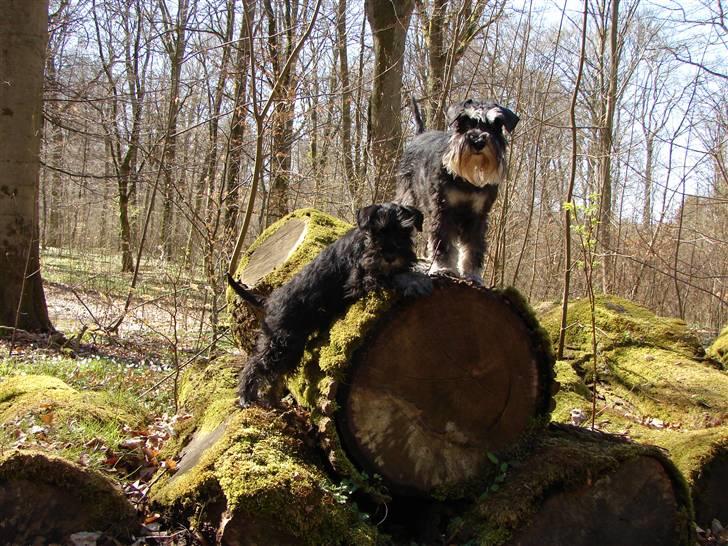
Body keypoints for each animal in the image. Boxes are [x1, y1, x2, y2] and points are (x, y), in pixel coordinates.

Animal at [230, 203, 430, 404]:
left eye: (405, 231)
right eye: (378, 231)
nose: (390, 256)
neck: (364, 242)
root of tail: (269, 300)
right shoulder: (362, 279)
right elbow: (393, 275)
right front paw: (417, 280)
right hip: (281, 342)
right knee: (256, 363)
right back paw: (246, 396)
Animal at [398, 98, 516, 282]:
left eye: (495, 125)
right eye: (466, 122)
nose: (478, 141)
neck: (467, 180)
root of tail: (419, 135)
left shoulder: (478, 215)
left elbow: (474, 246)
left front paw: (473, 274)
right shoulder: (443, 209)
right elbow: (443, 240)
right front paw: (444, 268)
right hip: (407, 198)